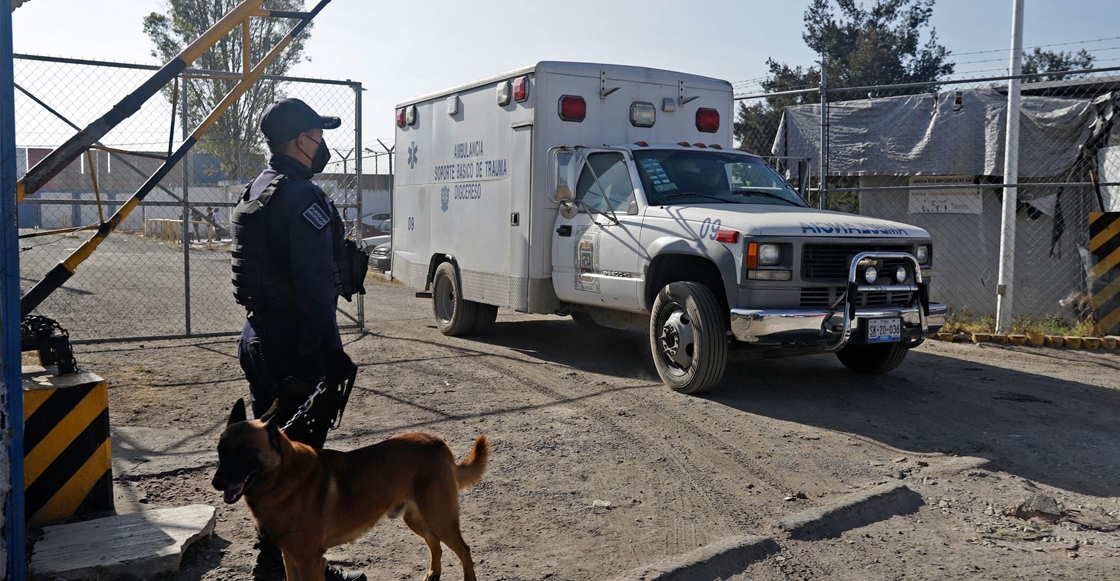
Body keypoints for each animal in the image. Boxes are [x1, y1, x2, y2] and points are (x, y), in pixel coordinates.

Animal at [211, 400, 488, 581]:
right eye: (220, 450)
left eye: (246, 452)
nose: (217, 483)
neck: (283, 477)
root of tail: (439, 442)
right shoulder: (290, 556)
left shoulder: (309, 560)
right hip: (418, 519)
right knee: (435, 544)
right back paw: (433, 573)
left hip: (440, 519)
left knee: (463, 550)